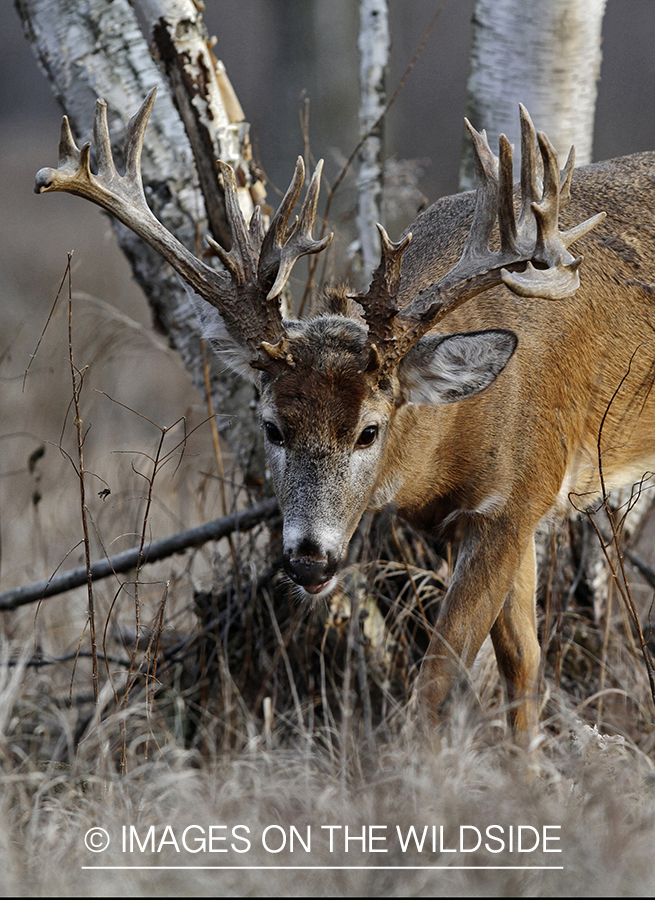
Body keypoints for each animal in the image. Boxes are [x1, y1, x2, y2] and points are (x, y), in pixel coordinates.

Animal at [34, 88, 655, 740]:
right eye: (272, 427)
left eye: (368, 432)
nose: (310, 561)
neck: (453, 440)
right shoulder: (486, 520)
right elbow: (524, 667)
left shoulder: (516, 501)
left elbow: (439, 676)